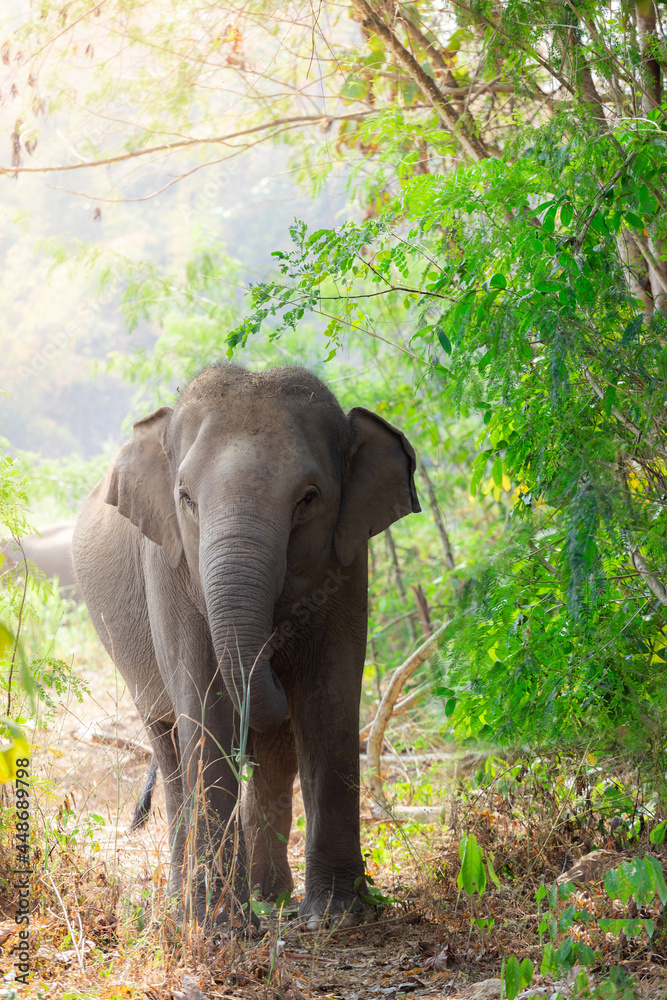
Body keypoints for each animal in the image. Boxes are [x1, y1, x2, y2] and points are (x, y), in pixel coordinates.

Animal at [72, 363, 420, 928]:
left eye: (308, 498)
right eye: (186, 498)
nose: (274, 653)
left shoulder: (348, 561)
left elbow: (328, 694)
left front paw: (336, 916)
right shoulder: (167, 563)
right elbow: (203, 701)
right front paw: (220, 928)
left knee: (275, 759)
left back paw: (270, 896)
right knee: (170, 750)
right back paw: (187, 902)